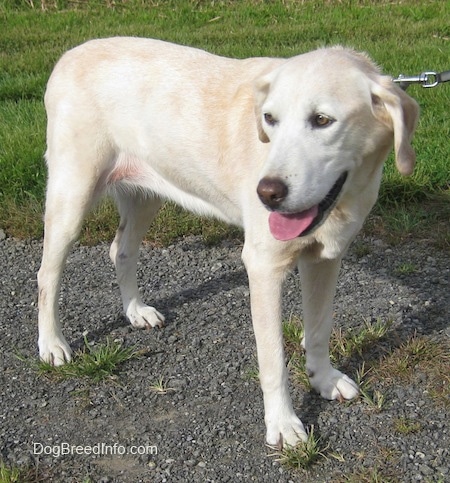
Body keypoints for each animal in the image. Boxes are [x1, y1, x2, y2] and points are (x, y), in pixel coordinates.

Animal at [37, 38, 420, 450]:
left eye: (322, 120)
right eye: (270, 119)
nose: (267, 194)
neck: (345, 195)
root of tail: (72, 52)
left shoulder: (325, 259)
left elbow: (319, 329)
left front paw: (324, 379)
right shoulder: (264, 267)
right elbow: (273, 360)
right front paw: (282, 423)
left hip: (146, 195)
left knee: (121, 250)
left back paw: (135, 310)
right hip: (72, 196)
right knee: (47, 275)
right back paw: (52, 344)